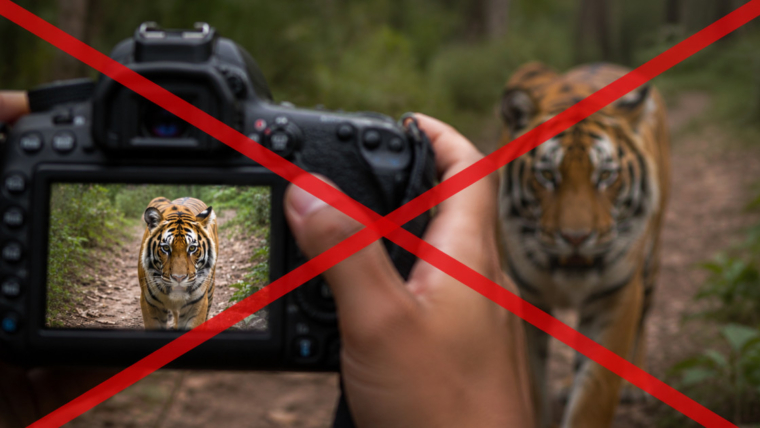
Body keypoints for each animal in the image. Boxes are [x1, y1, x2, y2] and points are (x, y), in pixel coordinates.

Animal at [497, 62, 670, 428]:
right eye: (547, 175)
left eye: (605, 176)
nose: (576, 238)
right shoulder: (523, 297)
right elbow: (531, 384)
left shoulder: (616, 296)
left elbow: (594, 395)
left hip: (650, 261)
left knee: (644, 319)